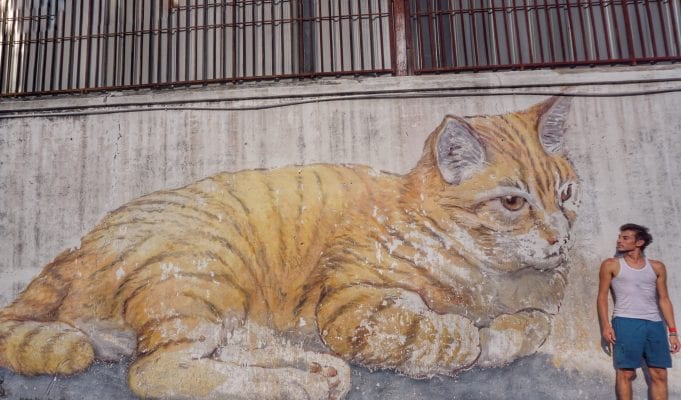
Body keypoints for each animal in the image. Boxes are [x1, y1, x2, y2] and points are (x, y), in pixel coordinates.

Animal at [0, 97, 578, 399]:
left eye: (567, 194)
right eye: (513, 202)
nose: (560, 237)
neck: (497, 279)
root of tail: (75, 248)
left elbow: (534, 325)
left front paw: (507, 331)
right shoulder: (353, 305)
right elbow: (445, 333)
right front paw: (475, 338)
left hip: (226, 306)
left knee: (229, 352)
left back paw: (313, 371)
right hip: (205, 275)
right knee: (157, 372)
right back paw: (298, 383)